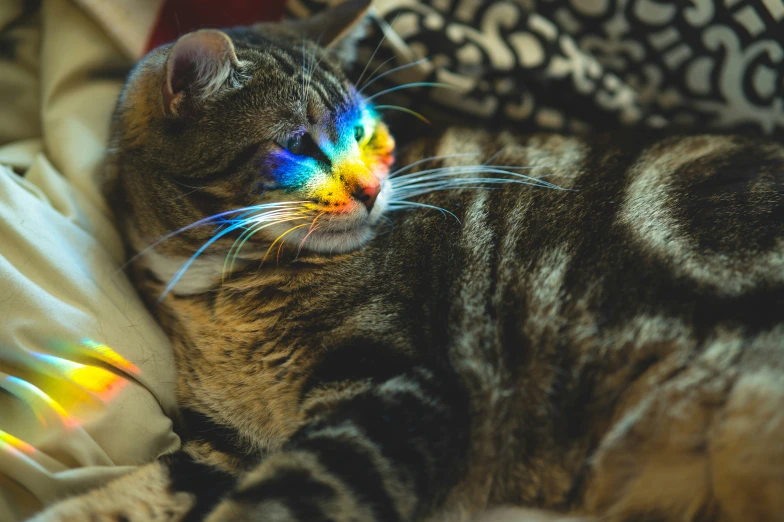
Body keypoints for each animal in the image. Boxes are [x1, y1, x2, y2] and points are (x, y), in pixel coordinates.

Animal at [33, 1, 784, 520]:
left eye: (365, 134)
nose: (372, 190)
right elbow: (133, 493)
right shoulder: (220, 447)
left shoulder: (398, 388)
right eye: (298, 146)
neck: (217, 288)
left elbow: (285, 494)